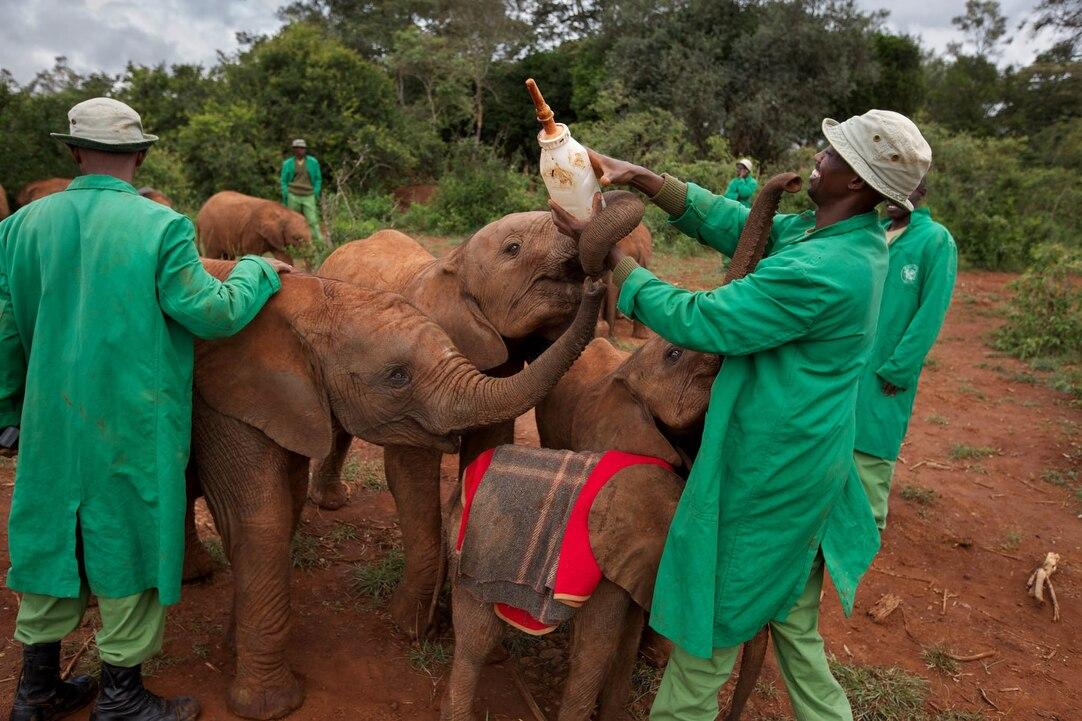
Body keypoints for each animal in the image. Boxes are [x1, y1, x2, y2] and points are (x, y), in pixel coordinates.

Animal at [190, 259, 604, 720]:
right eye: (398, 377)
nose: (592, 283)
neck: (308, 299)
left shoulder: (290, 407)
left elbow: (286, 503)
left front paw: (234, 645)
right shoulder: (224, 403)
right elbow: (262, 519)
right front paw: (270, 706)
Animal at [313, 191, 646, 638]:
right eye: (513, 249)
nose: (593, 282)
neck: (454, 261)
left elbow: (488, 448)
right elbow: (409, 475)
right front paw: (411, 627)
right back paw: (332, 502)